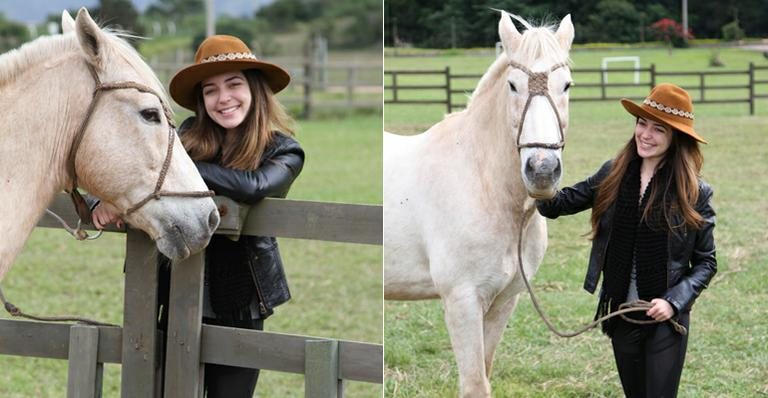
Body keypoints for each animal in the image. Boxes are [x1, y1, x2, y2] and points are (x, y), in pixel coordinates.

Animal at [388, 10, 572, 396]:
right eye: (513, 85)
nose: (542, 170)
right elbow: (475, 383)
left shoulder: (504, 301)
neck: (483, 184)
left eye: (566, 85)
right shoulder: (462, 301)